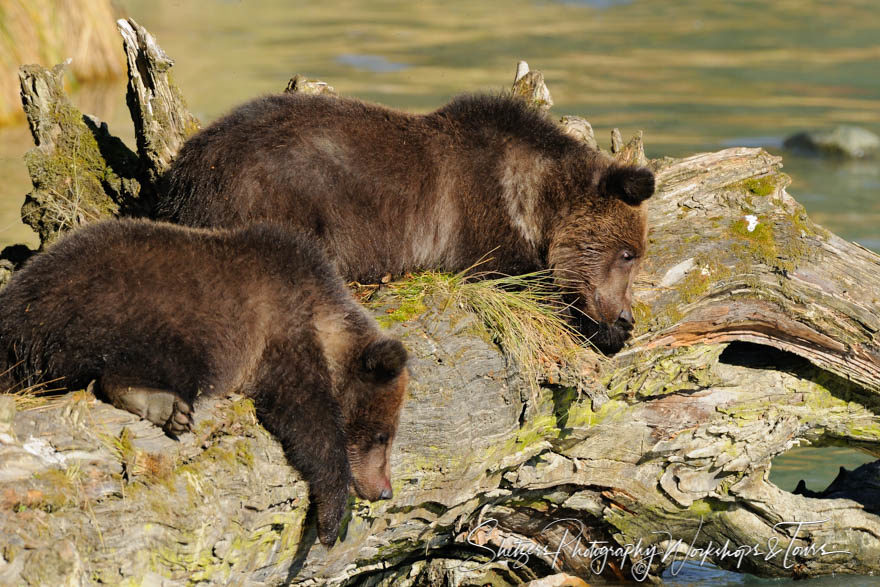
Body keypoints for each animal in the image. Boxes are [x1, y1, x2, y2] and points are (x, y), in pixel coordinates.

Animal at [0, 219, 410, 548]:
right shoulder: (278, 329)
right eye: (382, 435)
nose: (385, 491)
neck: (326, 318)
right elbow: (307, 417)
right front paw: (331, 517)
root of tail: (17, 314)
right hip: (136, 311)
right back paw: (162, 405)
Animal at [156, 93, 652, 354]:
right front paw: (603, 330)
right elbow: (522, 283)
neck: (534, 199)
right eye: (628, 253)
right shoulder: (477, 220)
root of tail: (188, 168)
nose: (624, 314)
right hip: (275, 194)